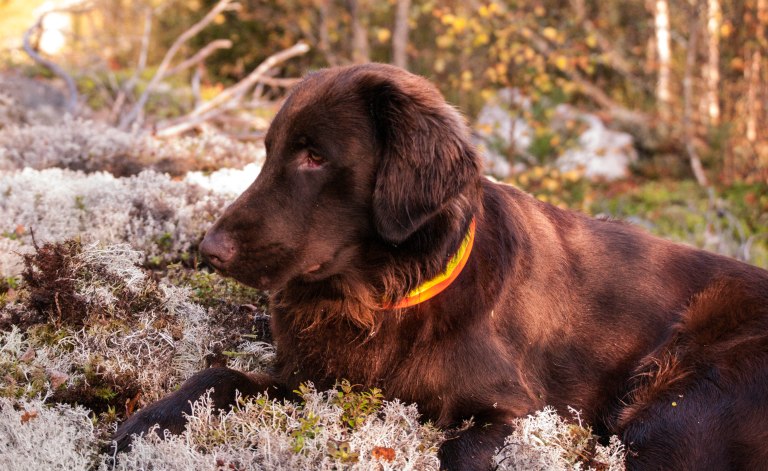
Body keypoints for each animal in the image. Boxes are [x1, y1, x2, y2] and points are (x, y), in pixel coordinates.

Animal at [114, 63, 768, 470]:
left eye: (315, 156)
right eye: (270, 151)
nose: (208, 249)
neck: (382, 301)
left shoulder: (524, 412)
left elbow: (458, 450)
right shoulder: (313, 379)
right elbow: (216, 377)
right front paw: (141, 425)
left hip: (679, 406)